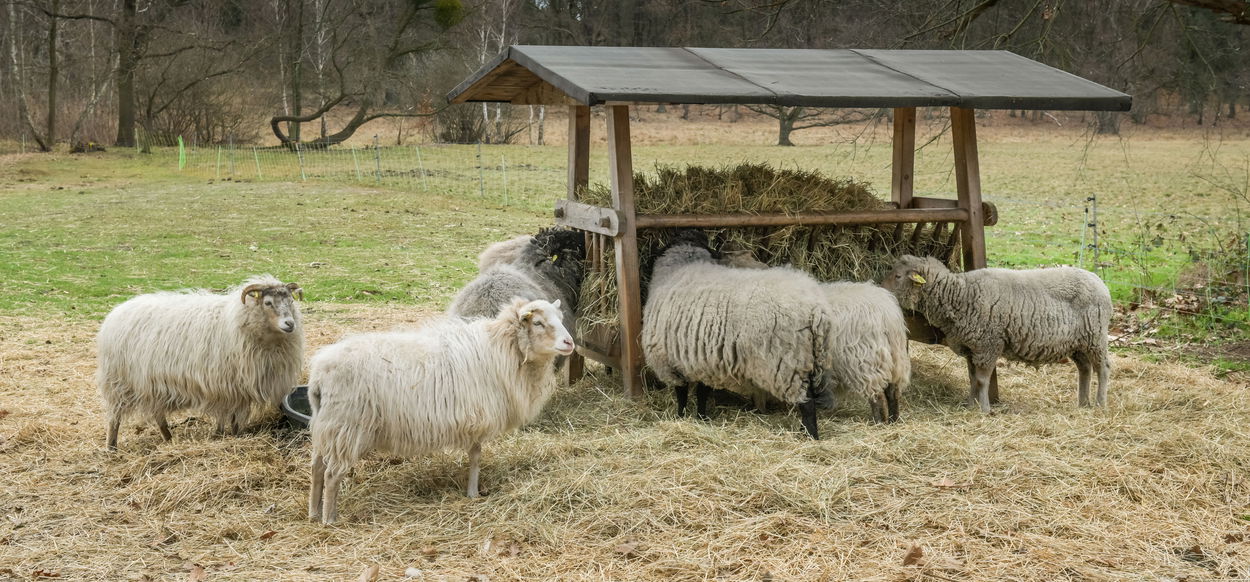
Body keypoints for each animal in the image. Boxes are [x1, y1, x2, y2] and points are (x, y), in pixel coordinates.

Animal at [95, 273, 305, 449]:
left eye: (290, 301)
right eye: (268, 302)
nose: (290, 324)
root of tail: (115, 313)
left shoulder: (233, 387)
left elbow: (230, 417)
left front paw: (223, 434)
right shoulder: (227, 385)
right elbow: (232, 417)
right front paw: (232, 436)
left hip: (150, 383)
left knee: (157, 413)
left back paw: (168, 438)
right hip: (119, 381)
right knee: (114, 417)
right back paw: (111, 447)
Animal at [307, 297, 575, 524]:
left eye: (560, 319)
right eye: (538, 322)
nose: (570, 343)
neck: (501, 348)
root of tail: (319, 373)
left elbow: (474, 455)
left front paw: (471, 491)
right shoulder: (478, 416)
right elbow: (476, 456)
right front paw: (473, 492)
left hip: (326, 424)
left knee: (317, 467)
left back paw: (313, 512)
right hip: (346, 426)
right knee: (332, 474)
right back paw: (329, 519)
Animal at [880, 256, 1115, 414]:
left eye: (898, 276)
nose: (880, 290)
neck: (959, 293)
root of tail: (1099, 281)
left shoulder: (989, 343)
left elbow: (982, 380)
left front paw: (984, 409)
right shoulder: (972, 347)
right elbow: (972, 379)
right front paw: (971, 404)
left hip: (1095, 336)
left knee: (1103, 368)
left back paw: (1100, 404)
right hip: (1077, 343)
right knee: (1085, 369)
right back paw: (1083, 403)